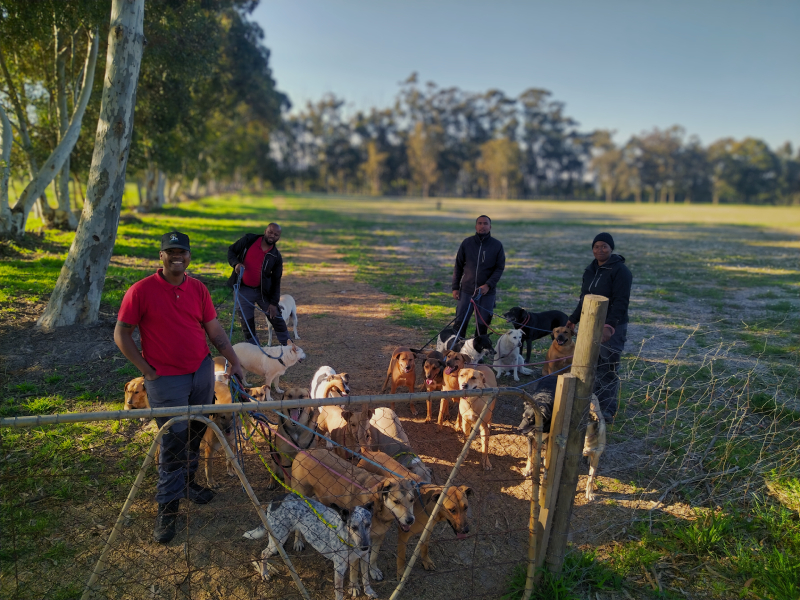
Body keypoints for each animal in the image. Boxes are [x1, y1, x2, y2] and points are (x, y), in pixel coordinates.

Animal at [290, 448, 417, 582]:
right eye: (396, 501)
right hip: (300, 495)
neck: (377, 508)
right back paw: (298, 542)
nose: (410, 520)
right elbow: (355, 570)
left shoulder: (379, 536)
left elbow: (373, 556)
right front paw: (355, 583)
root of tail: (304, 450)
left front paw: (373, 571)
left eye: (412, 500)